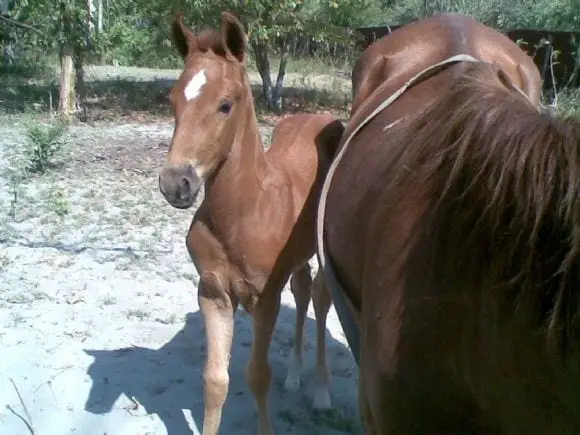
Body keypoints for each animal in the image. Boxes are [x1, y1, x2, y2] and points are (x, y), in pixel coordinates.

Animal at [157, 11, 344, 434]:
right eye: (173, 100)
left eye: (225, 105)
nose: (176, 183)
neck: (243, 212)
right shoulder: (213, 293)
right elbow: (214, 381)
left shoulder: (264, 299)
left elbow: (257, 375)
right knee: (303, 291)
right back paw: (295, 375)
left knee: (321, 299)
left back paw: (322, 392)